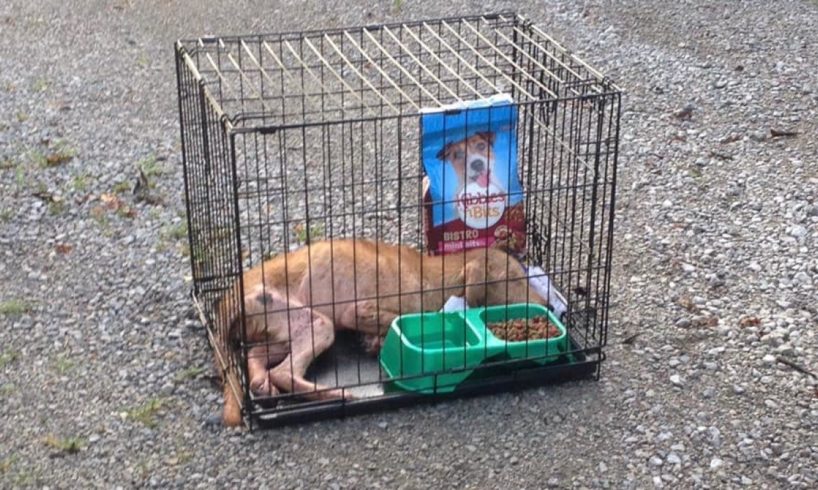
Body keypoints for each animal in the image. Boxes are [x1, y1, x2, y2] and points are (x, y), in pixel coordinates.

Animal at [217, 238, 548, 424]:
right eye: (513, 279)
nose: (550, 305)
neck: (437, 274)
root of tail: (228, 297)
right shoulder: (357, 310)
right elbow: (398, 316)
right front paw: (374, 341)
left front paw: (374, 341)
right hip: (314, 323)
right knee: (284, 372)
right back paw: (333, 393)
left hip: (284, 330)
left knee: (258, 357)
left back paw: (261, 382)